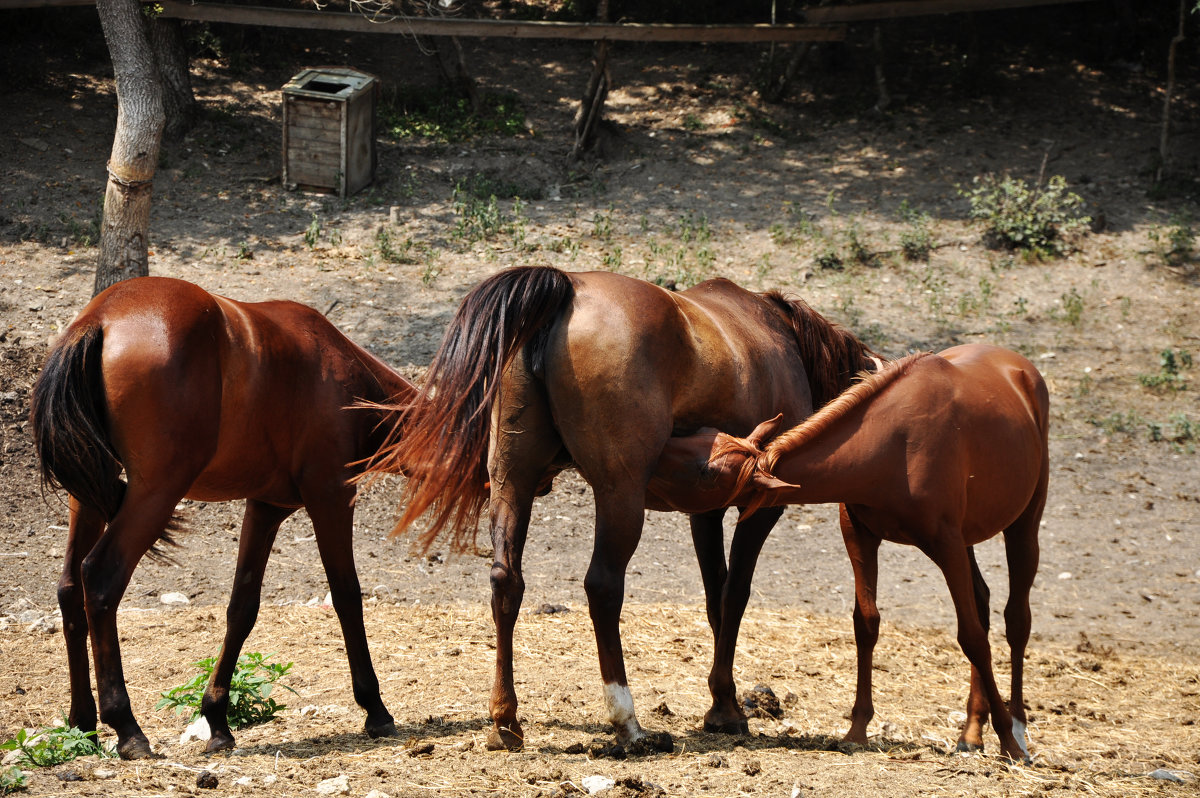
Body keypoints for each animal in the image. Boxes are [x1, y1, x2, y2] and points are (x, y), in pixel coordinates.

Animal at [29, 277, 417, 758]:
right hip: (155, 493)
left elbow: (242, 608)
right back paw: (127, 728)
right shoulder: (331, 497)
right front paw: (375, 709)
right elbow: (347, 597)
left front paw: (217, 720)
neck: (340, 371)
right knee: (99, 579)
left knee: (69, 590)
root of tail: (99, 317)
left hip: (88, 495)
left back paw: (82, 724)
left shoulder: (267, 508)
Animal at [360, 264, 878, 748]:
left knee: (506, 581)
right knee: (603, 587)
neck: (782, 336)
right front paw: (726, 711)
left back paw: (505, 720)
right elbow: (733, 596)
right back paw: (627, 722)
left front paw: (723, 701)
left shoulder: (706, 512)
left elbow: (715, 597)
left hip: (512, 481)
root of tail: (565, 286)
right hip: (620, 497)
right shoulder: (760, 509)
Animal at [648, 340, 1051, 758]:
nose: (650, 453)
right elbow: (866, 624)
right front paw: (857, 730)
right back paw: (971, 732)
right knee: (983, 602)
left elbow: (972, 637)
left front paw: (1009, 743)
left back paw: (1017, 728)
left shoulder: (947, 544)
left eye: (706, 471)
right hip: (969, 540)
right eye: (701, 435)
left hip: (1023, 525)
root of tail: (1019, 367)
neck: (896, 443)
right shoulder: (860, 535)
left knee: (1016, 620)